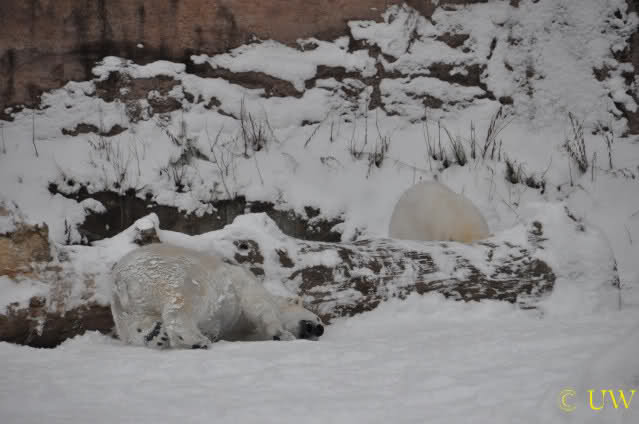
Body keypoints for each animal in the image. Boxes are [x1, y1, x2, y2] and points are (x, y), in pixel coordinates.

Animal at [111, 243, 324, 349]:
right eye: (318, 318)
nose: (319, 329)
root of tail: (121, 277)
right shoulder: (244, 281)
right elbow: (258, 304)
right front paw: (282, 334)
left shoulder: (232, 327)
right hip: (174, 274)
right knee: (185, 303)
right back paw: (196, 340)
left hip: (127, 306)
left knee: (132, 325)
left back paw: (155, 335)